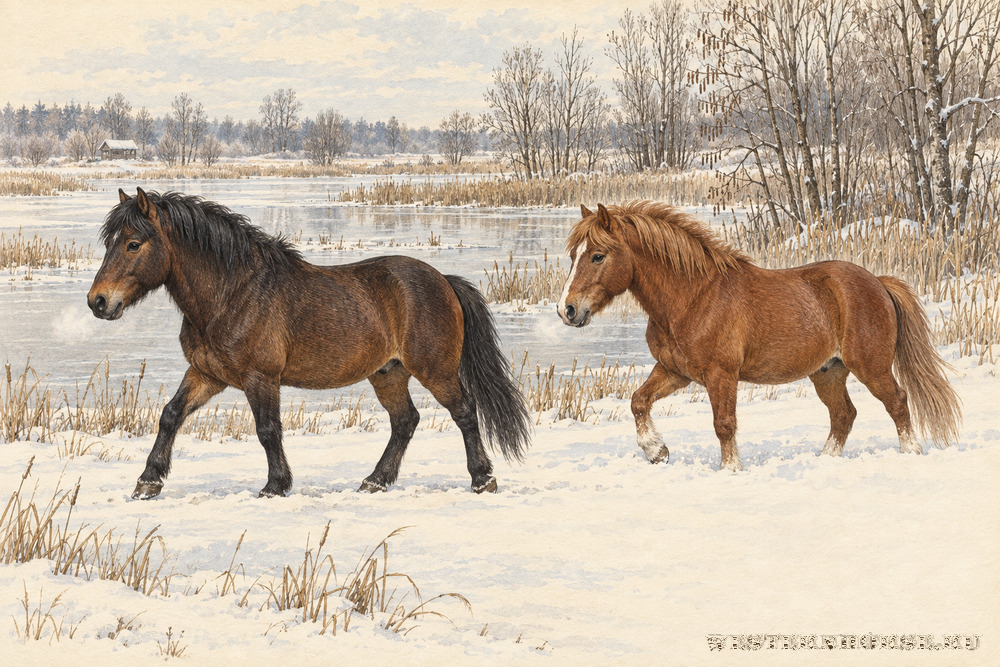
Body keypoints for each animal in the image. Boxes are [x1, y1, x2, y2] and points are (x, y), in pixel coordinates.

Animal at [88, 188, 530, 499]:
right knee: (405, 421)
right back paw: (375, 480)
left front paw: (275, 485)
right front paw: (147, 482)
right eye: (109, 242)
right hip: (388, 373)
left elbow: (267, 429)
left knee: (464, 412)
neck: (233, 292)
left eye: (133, 244)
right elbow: (170, 415)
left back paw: (482, 479)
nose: (99, 302)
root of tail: (444, 281)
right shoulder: (206, 374)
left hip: (435, 370)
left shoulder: (260, 378)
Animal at [556, 201, 960, 470]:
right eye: (574, 255)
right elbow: (638, 401)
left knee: (897, 402)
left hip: (870, 367)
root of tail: (877, 281)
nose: (568, 310)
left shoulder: (721, 375)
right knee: (844, 415)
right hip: (828, 372)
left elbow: (724, 425)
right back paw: (825, 460)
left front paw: (730, 470)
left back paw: (910, 453)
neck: (692, 297)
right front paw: (657, 451)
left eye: (597, 255)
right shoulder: (675, 372)